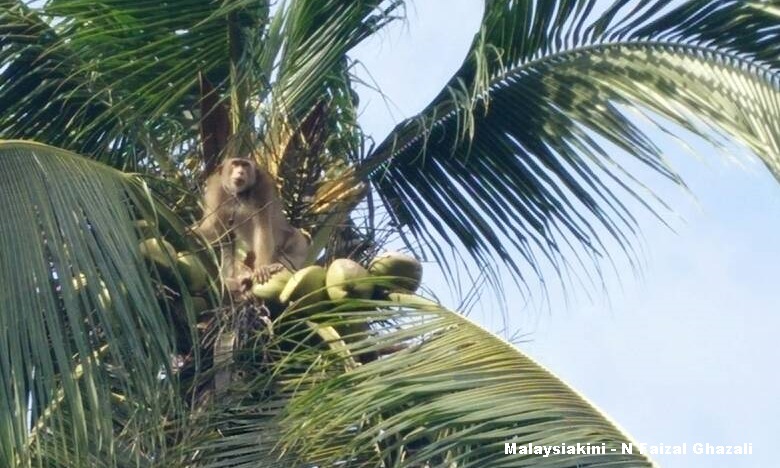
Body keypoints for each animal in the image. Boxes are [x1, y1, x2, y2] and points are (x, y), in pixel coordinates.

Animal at [195, 159, 310, 294]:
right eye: (235, 164)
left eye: (245, 165)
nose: (240, 172)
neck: (240, 194)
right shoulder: (216, 190)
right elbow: (213, 228)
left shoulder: (262, 188)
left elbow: (262, 226)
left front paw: (262, 267)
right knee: (229, 243)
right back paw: (236, 281)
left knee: (296, 238)